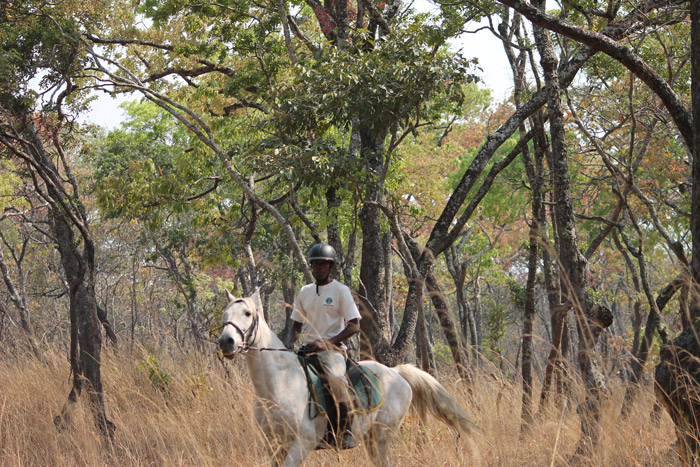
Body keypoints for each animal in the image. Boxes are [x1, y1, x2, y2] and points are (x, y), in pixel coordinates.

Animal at [216, 290, 474, 466]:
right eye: (225, 314)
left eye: (248, 313)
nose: (226, 342)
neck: (279, 384)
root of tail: (397, 373)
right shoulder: (275, 445)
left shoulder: (302, 444)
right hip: (371, 439)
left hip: (381, 437)